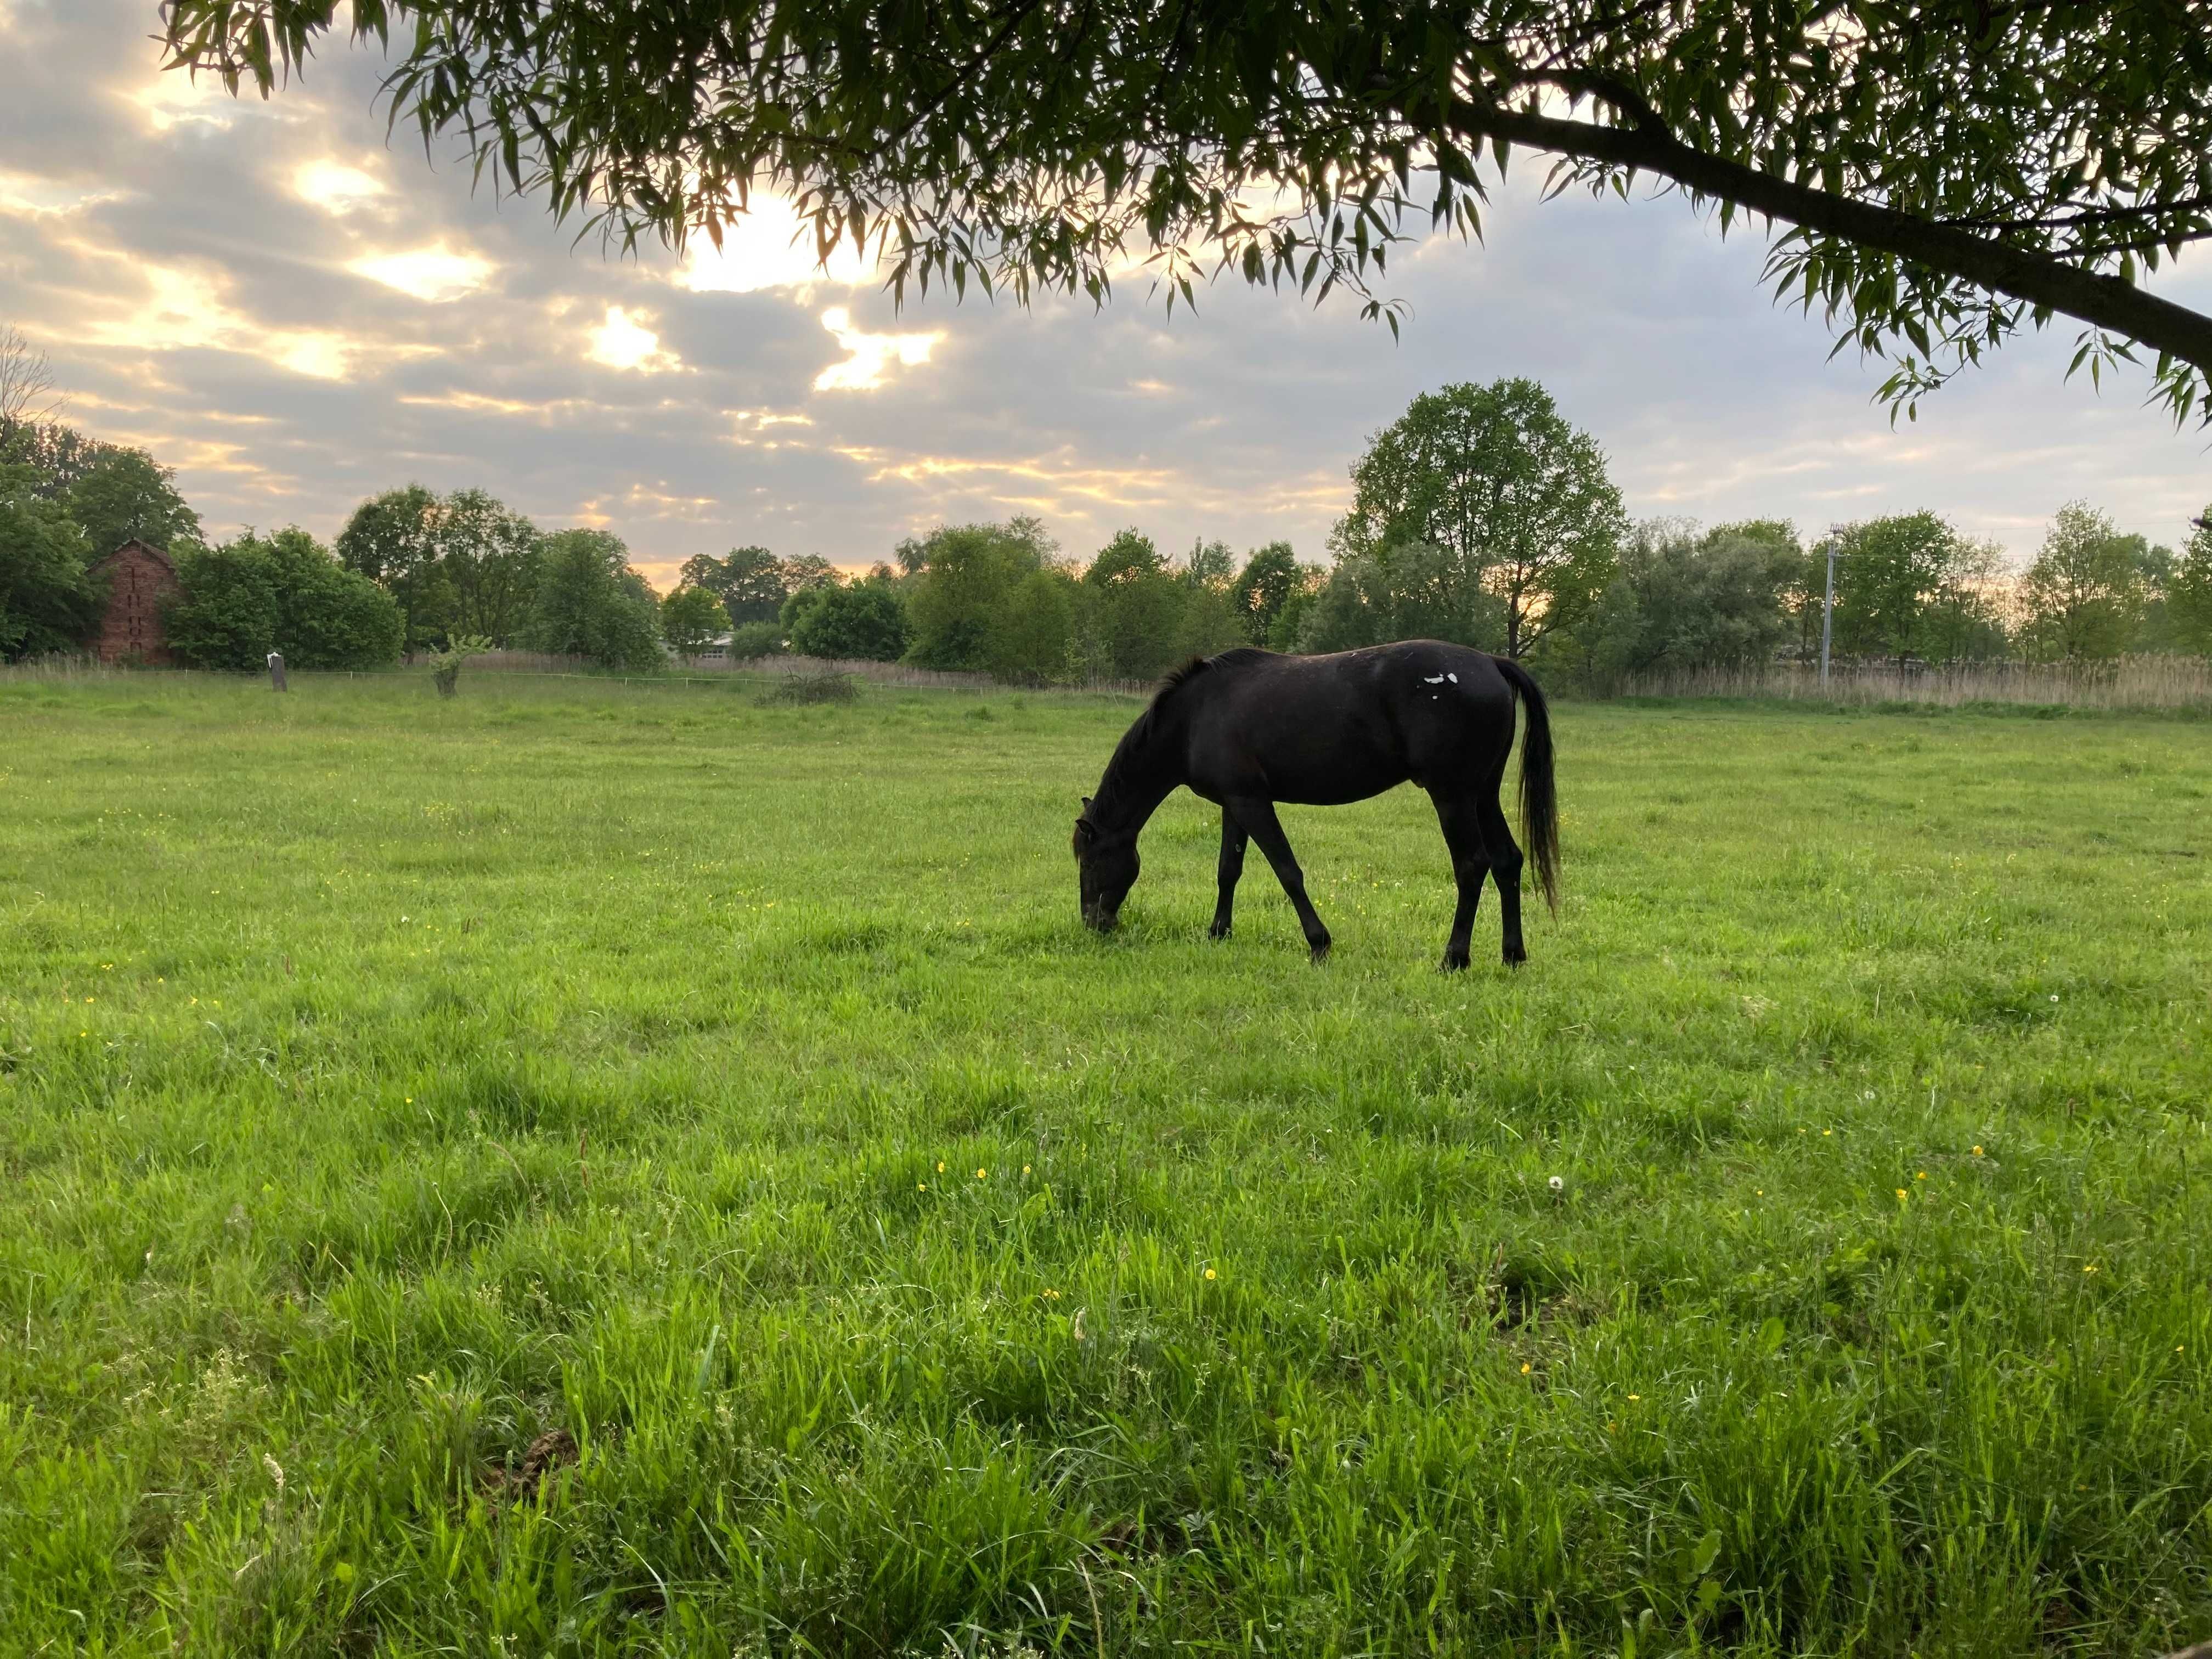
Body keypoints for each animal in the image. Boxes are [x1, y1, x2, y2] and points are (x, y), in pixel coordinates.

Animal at [1066, 641, 1557, 973]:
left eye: (1089, 862)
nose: (1093, 923)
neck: (1194, 716)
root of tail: (1490, 663)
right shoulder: (1234, 804)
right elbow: (1228, 870)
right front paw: (1218, 932)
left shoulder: (1253, 803)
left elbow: (1287, 871)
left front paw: (1319, 943)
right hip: (1482, 795)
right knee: (1507, 861)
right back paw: (1513, 955)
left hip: (1452, 796)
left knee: (1472, 865)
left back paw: (1454, 958)